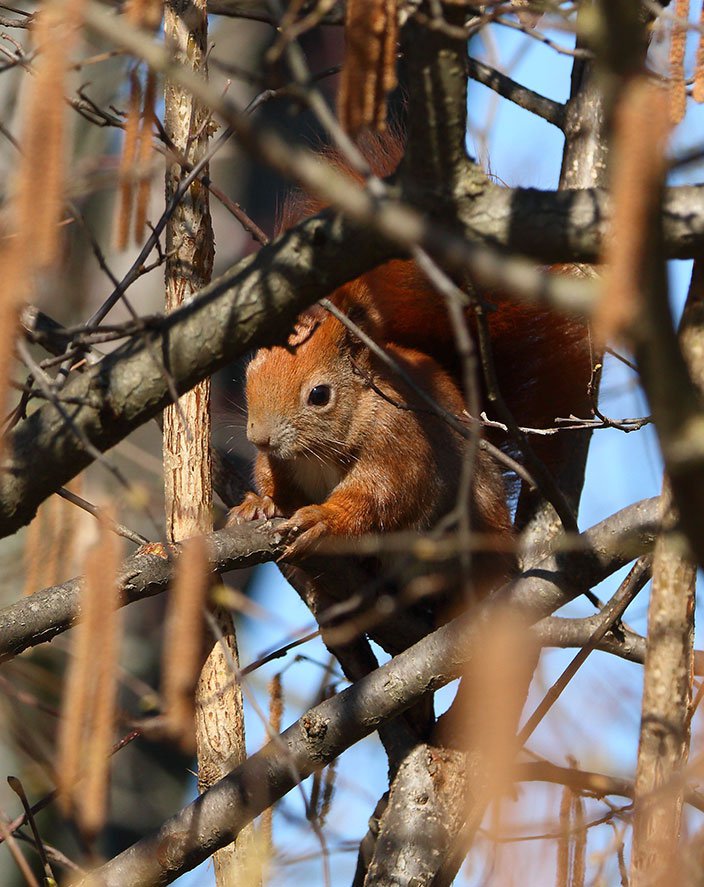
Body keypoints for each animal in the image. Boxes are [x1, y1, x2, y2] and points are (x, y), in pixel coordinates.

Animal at [228, 135, 592, 572]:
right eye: (250, 373)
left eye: (319, 395)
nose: (260, 438)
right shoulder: (280, 463)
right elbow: (275, 483)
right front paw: (259, 503)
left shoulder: (401, 444)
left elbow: (376, 497)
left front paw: (322, 518)